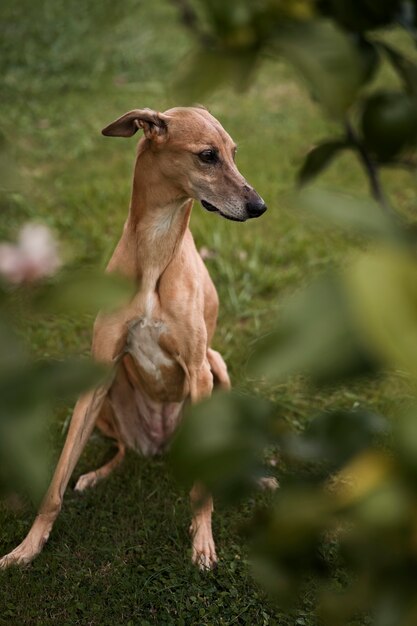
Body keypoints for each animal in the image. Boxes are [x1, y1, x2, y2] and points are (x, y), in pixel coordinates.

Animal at [0, 108, 264, 572]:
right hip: (113, 393)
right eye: (208, 155)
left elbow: (202, 489)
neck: (156, 250)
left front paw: (202, 544)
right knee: (120, 450)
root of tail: (160, 446)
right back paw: (95, 474)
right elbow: (55, 482)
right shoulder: (101, 368)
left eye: (233, 152)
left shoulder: (199, 371)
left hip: (217, 367)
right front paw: (26, 547)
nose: (259, 206)